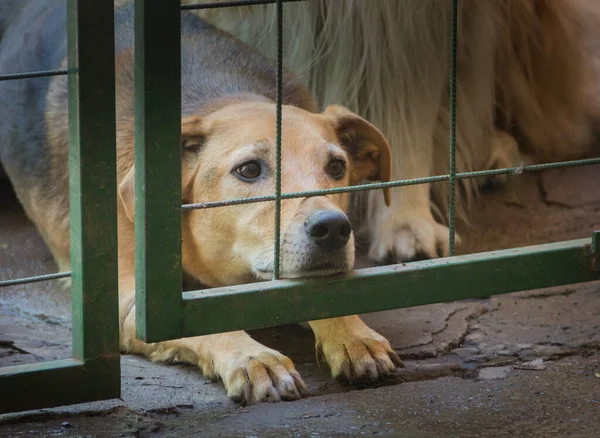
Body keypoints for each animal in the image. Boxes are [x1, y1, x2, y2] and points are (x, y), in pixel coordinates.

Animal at [1, 1, 404, 404]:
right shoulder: (132, 299)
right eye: (249, 170)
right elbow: (194, 320)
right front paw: (253, 356)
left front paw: (353, 335)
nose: (333, 228)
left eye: (337, 167)